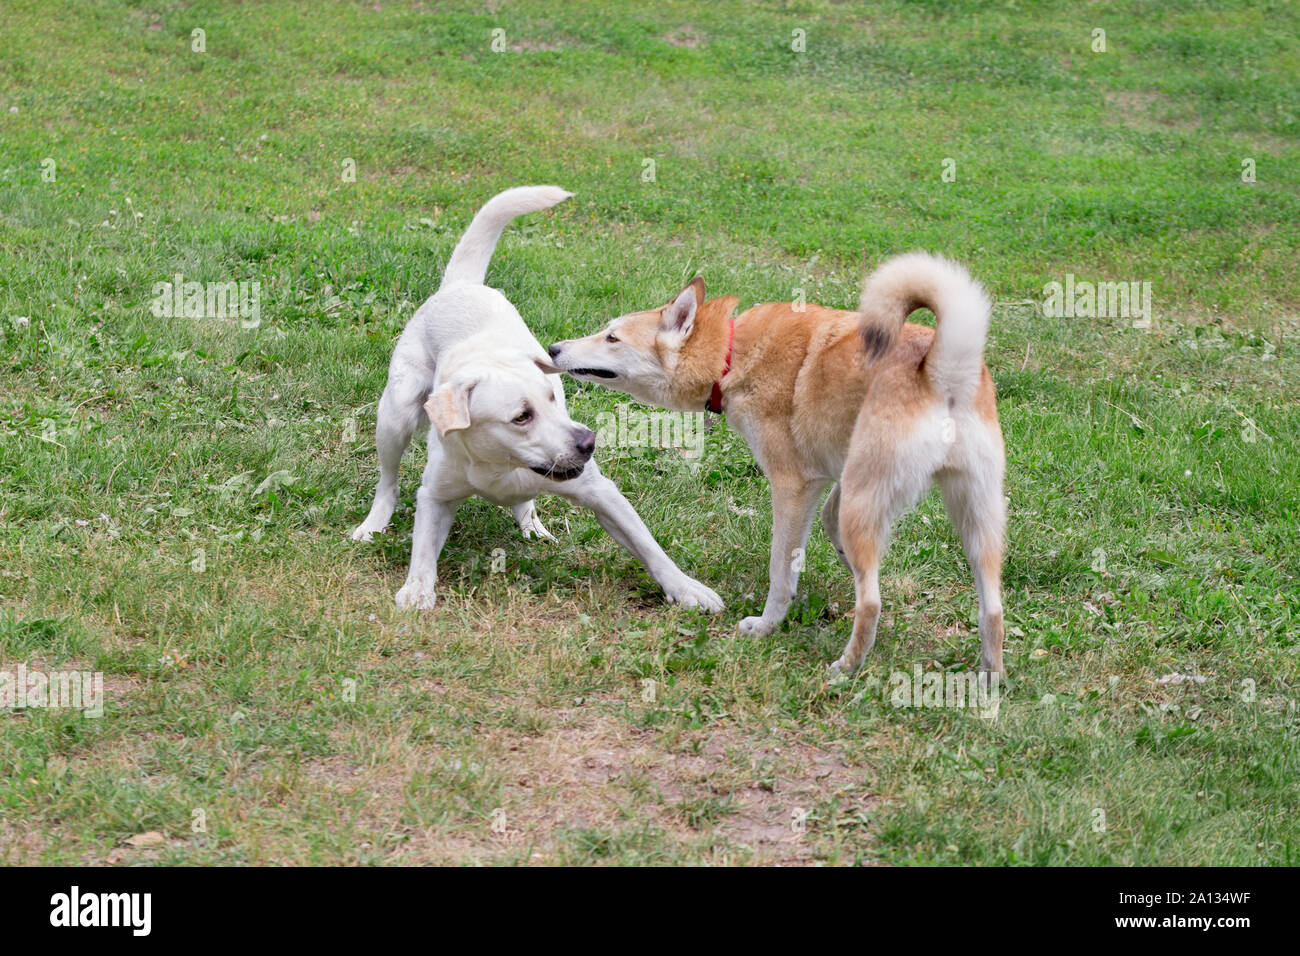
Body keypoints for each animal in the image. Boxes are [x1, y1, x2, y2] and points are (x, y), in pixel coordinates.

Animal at [353, 187, 722, 613]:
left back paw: (532, 525)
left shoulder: (602, 493)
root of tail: (460, 285)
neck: (503, 465)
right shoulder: (435, 495)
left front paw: (686, 588)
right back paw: (374, 523)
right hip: (395, 415)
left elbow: (650, 548)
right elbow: (424, 550)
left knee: (522, 503)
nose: (588, 443)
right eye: (521, 417)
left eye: (552, 397)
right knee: (388, 482)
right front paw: (417, 588)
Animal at [546, 251, 1003, 676]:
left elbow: (781, 573)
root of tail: (943, 369)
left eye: (612, 338)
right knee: (992, 611)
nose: (553, 348)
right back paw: (989, 682)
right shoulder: (833, 482)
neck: (732, 352)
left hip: (875, 505)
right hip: (975, 521)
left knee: (872, 603)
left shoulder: (792, 486)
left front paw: (768, 625)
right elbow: (828, 527)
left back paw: (844, 668)